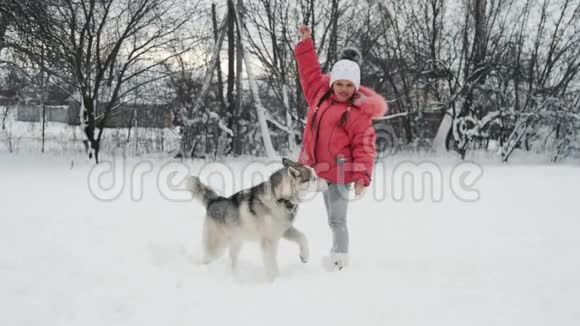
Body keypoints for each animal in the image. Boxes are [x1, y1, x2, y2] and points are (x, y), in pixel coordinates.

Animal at [185, 158, 326, 280]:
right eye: (313, 178)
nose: (327, 182)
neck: (280, 198)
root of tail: (214, 201)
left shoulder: (285, 230)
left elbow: (302, 237)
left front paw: (304, 256)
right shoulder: (268, 241)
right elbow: (271, 263)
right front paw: (274, 280)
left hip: (236, 242)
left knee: (232, 260)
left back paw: (235, 275)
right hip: (217, 246)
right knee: (207, 259)